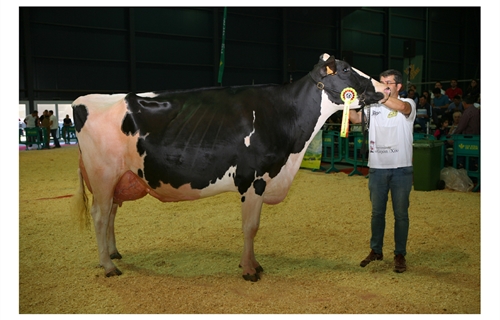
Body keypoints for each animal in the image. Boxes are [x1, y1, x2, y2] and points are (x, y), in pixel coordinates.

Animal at [74, 53, 384, 282]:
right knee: (100, 215)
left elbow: (254, 225)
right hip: (103, 175)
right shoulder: (254, 179)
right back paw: (108, 266)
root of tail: (83, 100)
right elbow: (250, 226)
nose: (383, 88)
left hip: (119, 178)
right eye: (346, 68)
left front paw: (255, 264)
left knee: (111, 213)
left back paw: (113, 253)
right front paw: (249, 270)